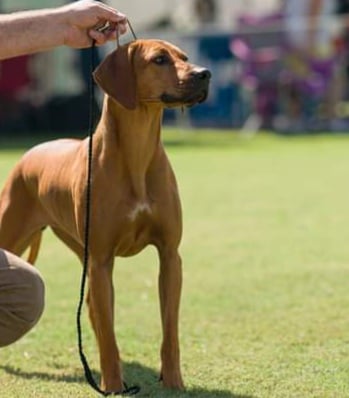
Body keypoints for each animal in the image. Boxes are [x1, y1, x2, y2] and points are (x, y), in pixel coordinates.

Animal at [0, 38, 209, 394]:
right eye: (159, 59)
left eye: (184, 56)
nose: (204, 74)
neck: (137, 151)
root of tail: (29, 153)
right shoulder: (101, 260)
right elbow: (110, 334)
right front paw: (111, 384)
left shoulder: (170, 256)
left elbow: (170, 330)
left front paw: (173, 380)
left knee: (93, 310)